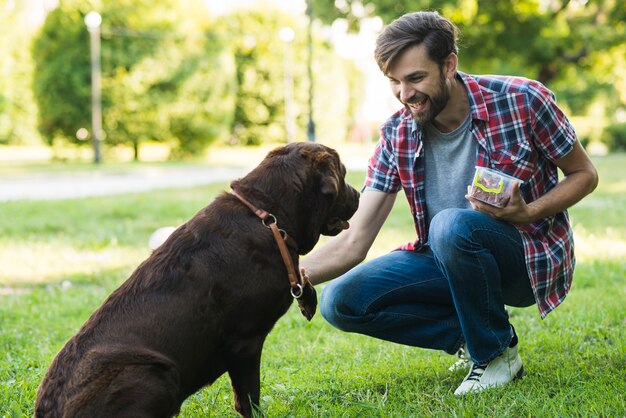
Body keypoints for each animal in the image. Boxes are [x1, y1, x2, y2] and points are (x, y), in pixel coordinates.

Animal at [35, 144, 356, 418]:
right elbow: (249, 399)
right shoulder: (245, 342)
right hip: (156, 372)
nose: (357, 193)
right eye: (343, 172)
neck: (268, 216)